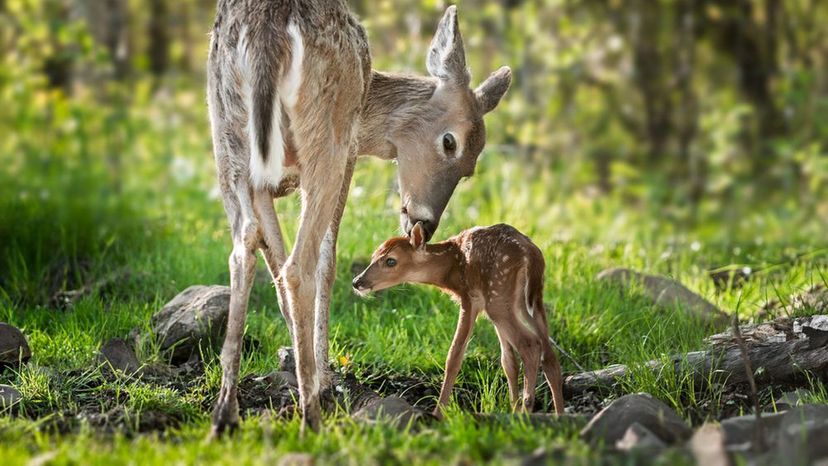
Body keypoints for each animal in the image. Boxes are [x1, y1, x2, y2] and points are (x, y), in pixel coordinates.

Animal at [207, 1, 512, 436]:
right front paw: (323, 381)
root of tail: (268, 32)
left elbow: (272, 260)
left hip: (227, 135)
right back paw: (311, 417)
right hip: (326, 137)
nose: (425, 223)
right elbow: (326, 260)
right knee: (300, 264)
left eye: (471, 168)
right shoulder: (349, 150)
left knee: (244, 248)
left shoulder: (263, 183)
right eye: (450, 142)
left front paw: (300, 365)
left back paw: (225, 413)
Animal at [352, 224, 568, 416]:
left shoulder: (469, 298)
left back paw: (527, 409)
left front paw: (438, 413)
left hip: (498, 296)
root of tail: (532, 255)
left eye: (391, 261)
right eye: (374, 256)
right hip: (530, 300)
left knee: (530, 344)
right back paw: (557, 415)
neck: (451, 270)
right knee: (548, 354)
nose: (357, 281)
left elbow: (454, 356)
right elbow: (508, 362)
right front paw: (512, 408)